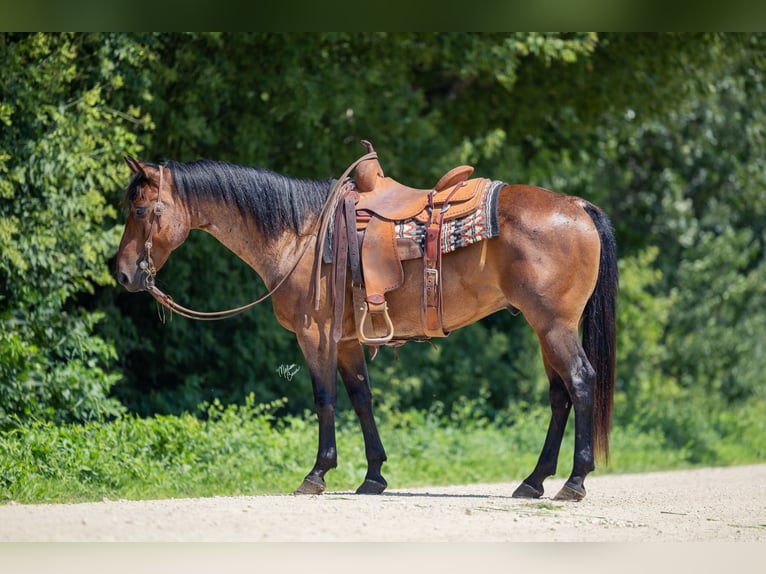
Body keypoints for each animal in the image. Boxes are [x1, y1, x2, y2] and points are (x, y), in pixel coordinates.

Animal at [116, 152, 617, 501]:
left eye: (139, 211)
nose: (122, 274)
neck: (300, 235)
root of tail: (577, 205)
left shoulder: (314, 335)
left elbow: (325, 399)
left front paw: (316, 474)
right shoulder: (346, 340)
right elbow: (361, 398)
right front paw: (373, 475)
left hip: (553, 326)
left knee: (580, 382)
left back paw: (574, 481)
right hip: (544, 329)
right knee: (559, 396)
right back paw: (533, 481)